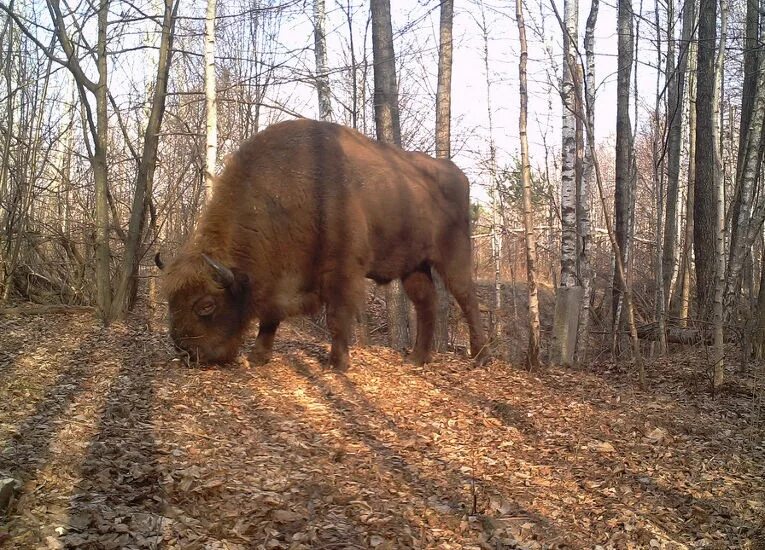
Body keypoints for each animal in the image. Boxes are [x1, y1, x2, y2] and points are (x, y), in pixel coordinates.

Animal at [158, 120, 486, 370]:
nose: (186, 353)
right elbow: (270, 316)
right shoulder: (281, 277)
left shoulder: (342, 270)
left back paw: (480, 357)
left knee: (467, 298)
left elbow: (336, 317)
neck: (283, 196)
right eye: (171, 299)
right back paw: (417, 359)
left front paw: (337, 363)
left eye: (206, 305)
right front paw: (258, 356)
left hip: (453, 257)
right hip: (413, 266)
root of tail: (457, 173)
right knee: (426, 303)